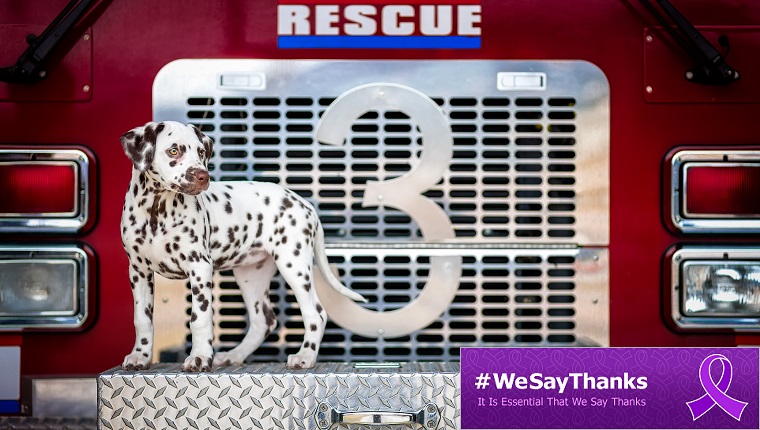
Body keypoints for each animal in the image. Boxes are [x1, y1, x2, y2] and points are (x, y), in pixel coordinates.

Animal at [120, 119, 366, 372]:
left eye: (201, 152)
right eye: (173, 151)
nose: (202, 176)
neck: (156, 211)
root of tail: (305, 204)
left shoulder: (199, 267)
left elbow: (199, 318)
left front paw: (199, 357)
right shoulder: (138, 271)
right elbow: (142, 318)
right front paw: (140, 356)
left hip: (294, 265)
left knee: (316, 314)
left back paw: (305, 356)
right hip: (250, 276)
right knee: (263, 322)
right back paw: (234, 355)